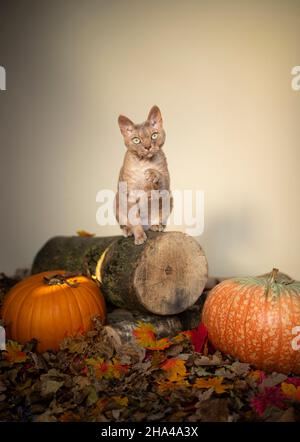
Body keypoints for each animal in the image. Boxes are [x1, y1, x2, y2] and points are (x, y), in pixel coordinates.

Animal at [115, 106, 172, 247]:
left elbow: (161, 178)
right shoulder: (130, 194)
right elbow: (135, 219)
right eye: (136, 140)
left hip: (170, 199)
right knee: (125, 222)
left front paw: (153, 173)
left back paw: (156, 226)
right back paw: (128, 231)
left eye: (154, 135)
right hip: (117, 200)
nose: (147, 147)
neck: (144, 163)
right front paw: (139, 236)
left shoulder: (166, 185)